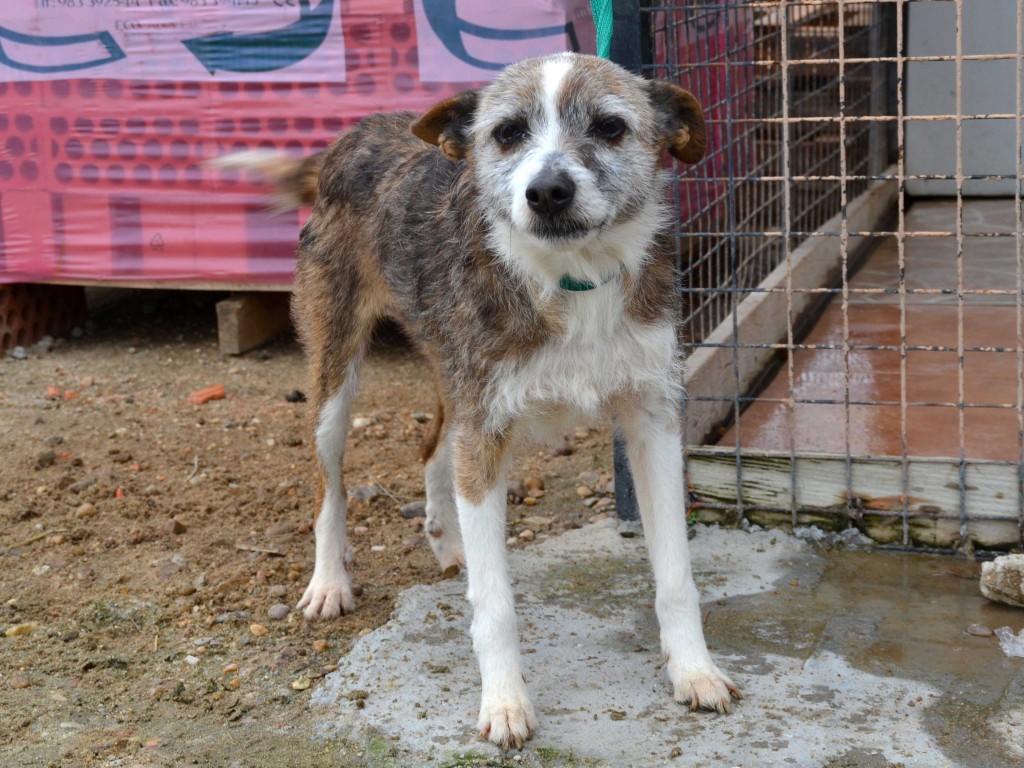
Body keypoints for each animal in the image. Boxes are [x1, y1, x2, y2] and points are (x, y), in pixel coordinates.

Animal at [224, 52, 737, 753]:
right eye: (507, 133)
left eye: (609, 127)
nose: (547, 191)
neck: (570, 279)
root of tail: (352, 137)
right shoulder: (487, 427)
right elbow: (494, 606)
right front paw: (505, 702)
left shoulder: (652, 419)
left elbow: (677, 576)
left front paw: (694, 670)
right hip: (337, 371)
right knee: (329, 482)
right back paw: (330, 581)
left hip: (455, 377)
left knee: (433, 447)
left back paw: (450, 541)